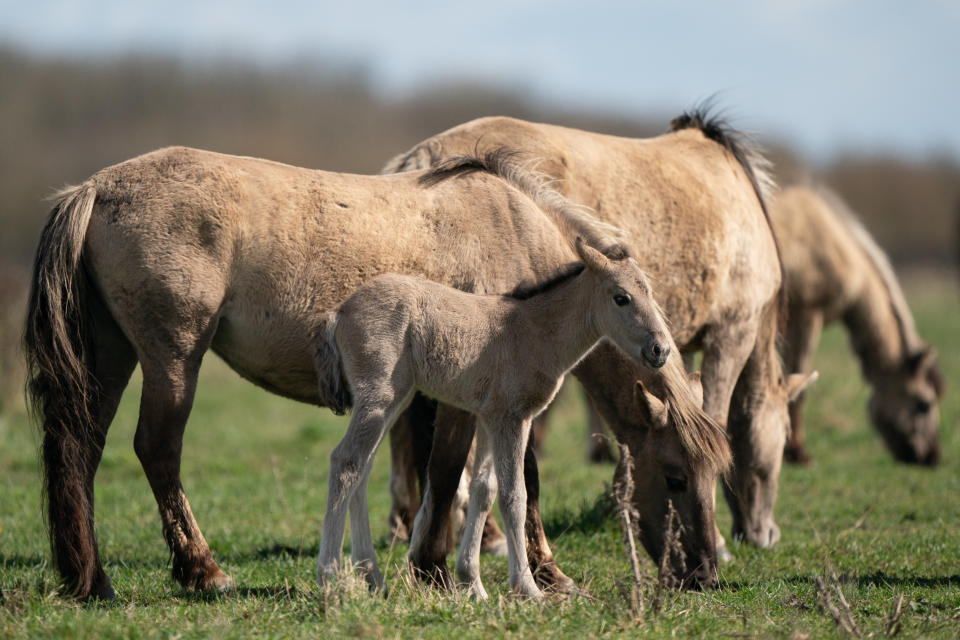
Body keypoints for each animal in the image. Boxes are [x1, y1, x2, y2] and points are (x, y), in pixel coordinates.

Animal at [312, 236, 680, 600]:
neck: (533, 332)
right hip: (378, 399)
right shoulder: (512, 419)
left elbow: (484, 490)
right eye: (621, 298)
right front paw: (528, 588)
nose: (660, 350)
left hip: (392, 402)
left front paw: (473, 584)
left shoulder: (490, 418)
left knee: (362, 470)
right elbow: (514, 496)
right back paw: (330, 577)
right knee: (345, 463)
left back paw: (374, 579)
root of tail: (341, 311)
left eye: (649, 292)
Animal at [382, 109, 816, 584]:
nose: (765, 535)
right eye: (779, 446)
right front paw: (717, 539)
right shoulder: (731, 335)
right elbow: (714, 419)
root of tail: (423, 155)